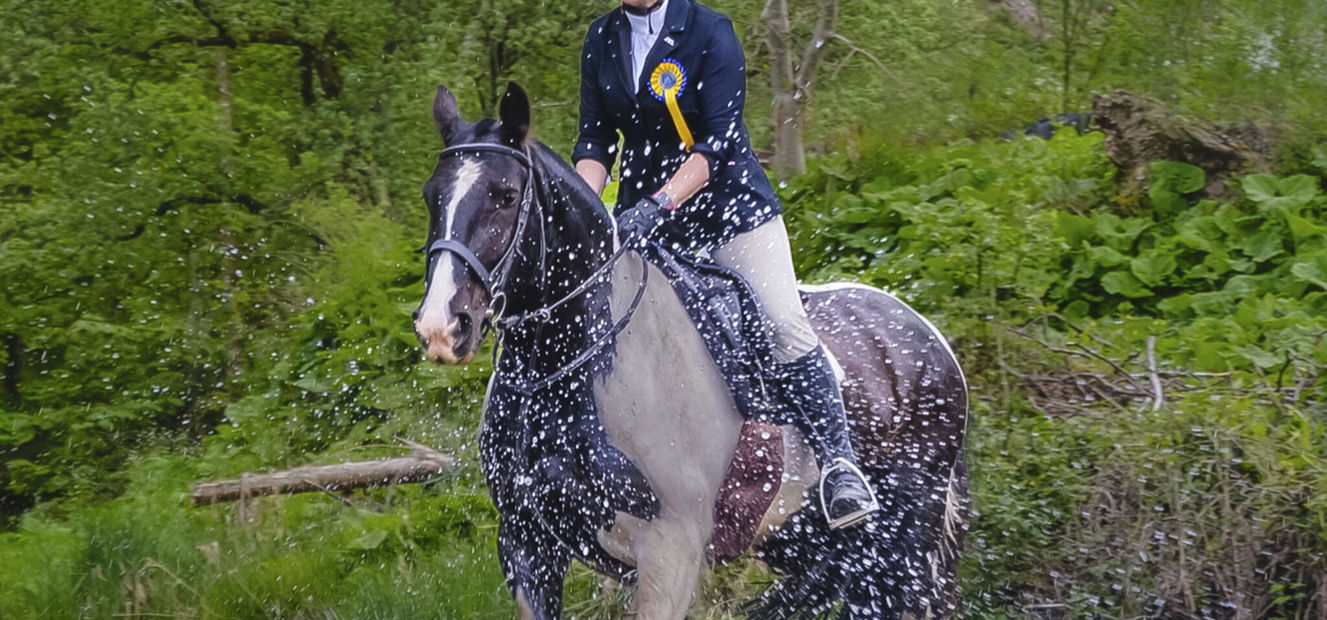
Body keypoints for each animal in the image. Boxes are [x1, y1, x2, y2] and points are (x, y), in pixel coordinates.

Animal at [412, 82, 969, 620]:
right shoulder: (526, 542)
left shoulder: (669, 551)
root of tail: (928, 335)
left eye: (505, 195)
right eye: (431, 196)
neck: (574, 366)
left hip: (901, 542)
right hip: (809, 541)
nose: (442, 326)